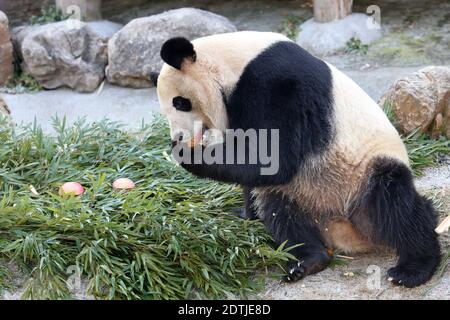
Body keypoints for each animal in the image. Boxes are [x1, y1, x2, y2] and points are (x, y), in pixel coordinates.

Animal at [153, 31, 442, 288]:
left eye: (180, 102)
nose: (178, 136)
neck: (232, 61)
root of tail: (345, 232)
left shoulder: (276, 84)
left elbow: (273, 157)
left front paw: (189, 154)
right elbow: (254, 167)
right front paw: (244, 214)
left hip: (362, 172)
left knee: (392, 203)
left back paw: (413, 267)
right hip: (307, 193)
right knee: (278, 206)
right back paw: (308, 260)